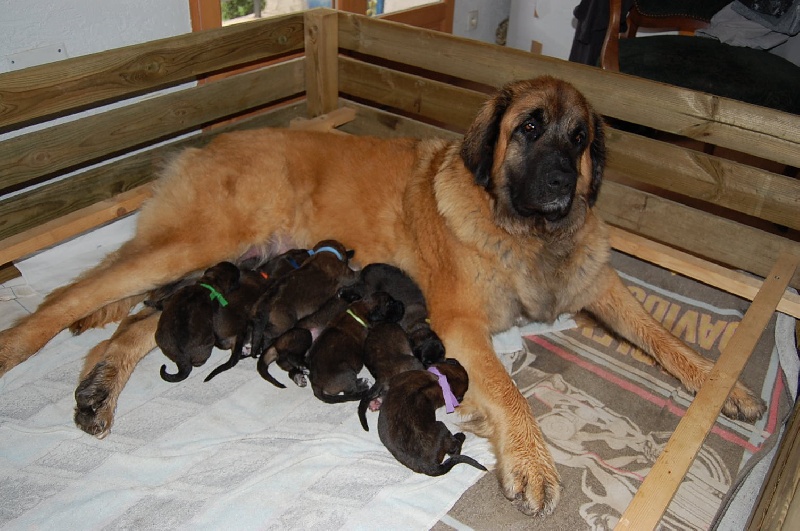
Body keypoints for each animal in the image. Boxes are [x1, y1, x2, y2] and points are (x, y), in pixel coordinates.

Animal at [0, 77, 764, 516]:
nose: (558, 186)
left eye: (579, 139)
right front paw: (533, 461)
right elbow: (510, 392)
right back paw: (20, 346)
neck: (522, 229)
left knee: (131, 327)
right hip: (193, 244)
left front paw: (723, 386)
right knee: (69, 299)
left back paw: (98, 386)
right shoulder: (459, 325)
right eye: (528, 129)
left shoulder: (595, 280)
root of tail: (201, 147)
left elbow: (659, 333)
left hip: (211, 271)